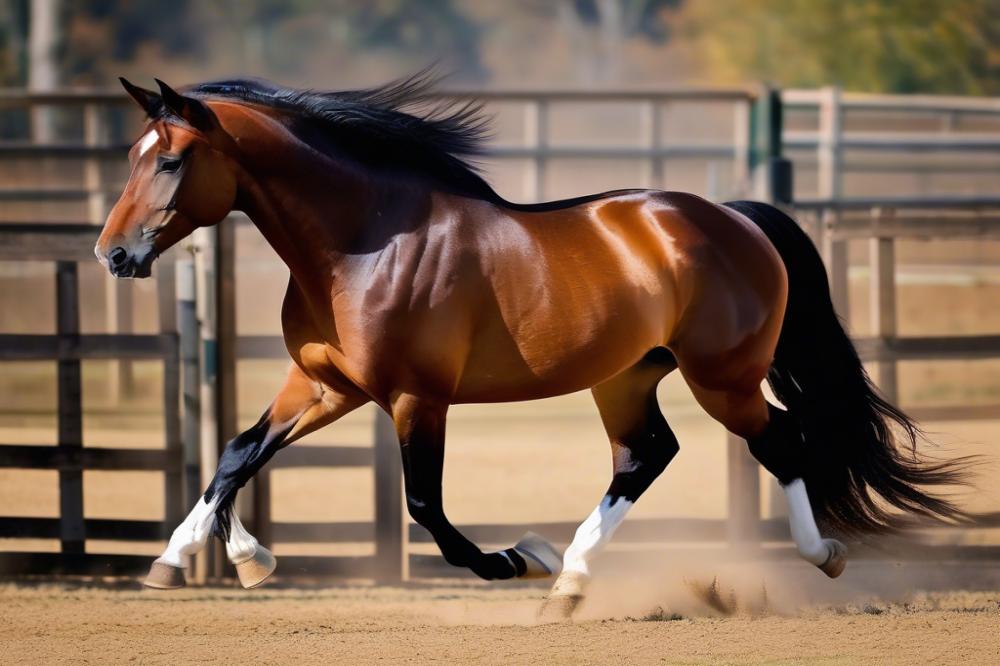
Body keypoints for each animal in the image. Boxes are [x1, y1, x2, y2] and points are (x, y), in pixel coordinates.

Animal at [95, 72, 969, 619]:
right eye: (134, 156)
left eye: (169, 161)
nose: (113, 255)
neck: (363, 243)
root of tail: (736, 216)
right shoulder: (324, 384)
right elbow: (238, 453)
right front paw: (203, 558)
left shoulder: (415, 397)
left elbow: (425, 507)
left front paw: (513, 560)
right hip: (626, 377)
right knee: (645, 456)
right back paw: (570, 583)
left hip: (722, 376)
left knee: (779, 443)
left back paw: (818, 555)